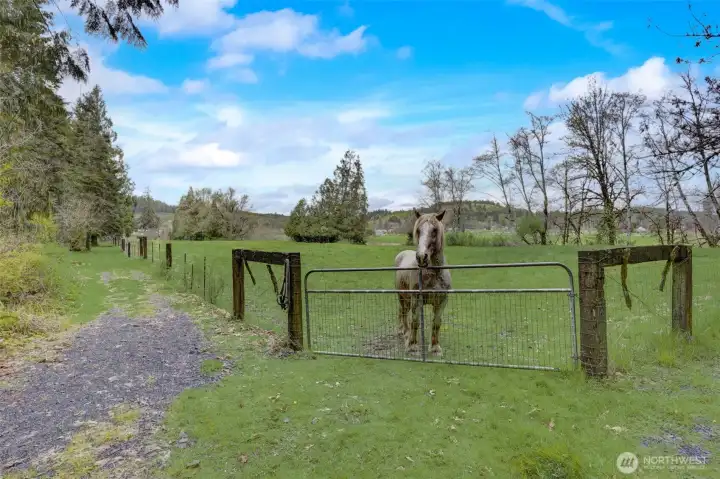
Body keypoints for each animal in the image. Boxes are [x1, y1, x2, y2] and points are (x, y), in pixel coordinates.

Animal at [394, 208, 451, 357]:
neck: (433, 274)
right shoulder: (416, 299)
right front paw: (412, 346)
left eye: (435, 230)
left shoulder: (442, 301)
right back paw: (404, 333)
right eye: (418, 230)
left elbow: (436, 323)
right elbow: (415, 322)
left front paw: (435, 348)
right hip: (402, 296)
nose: (421, 257)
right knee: (404, 313)